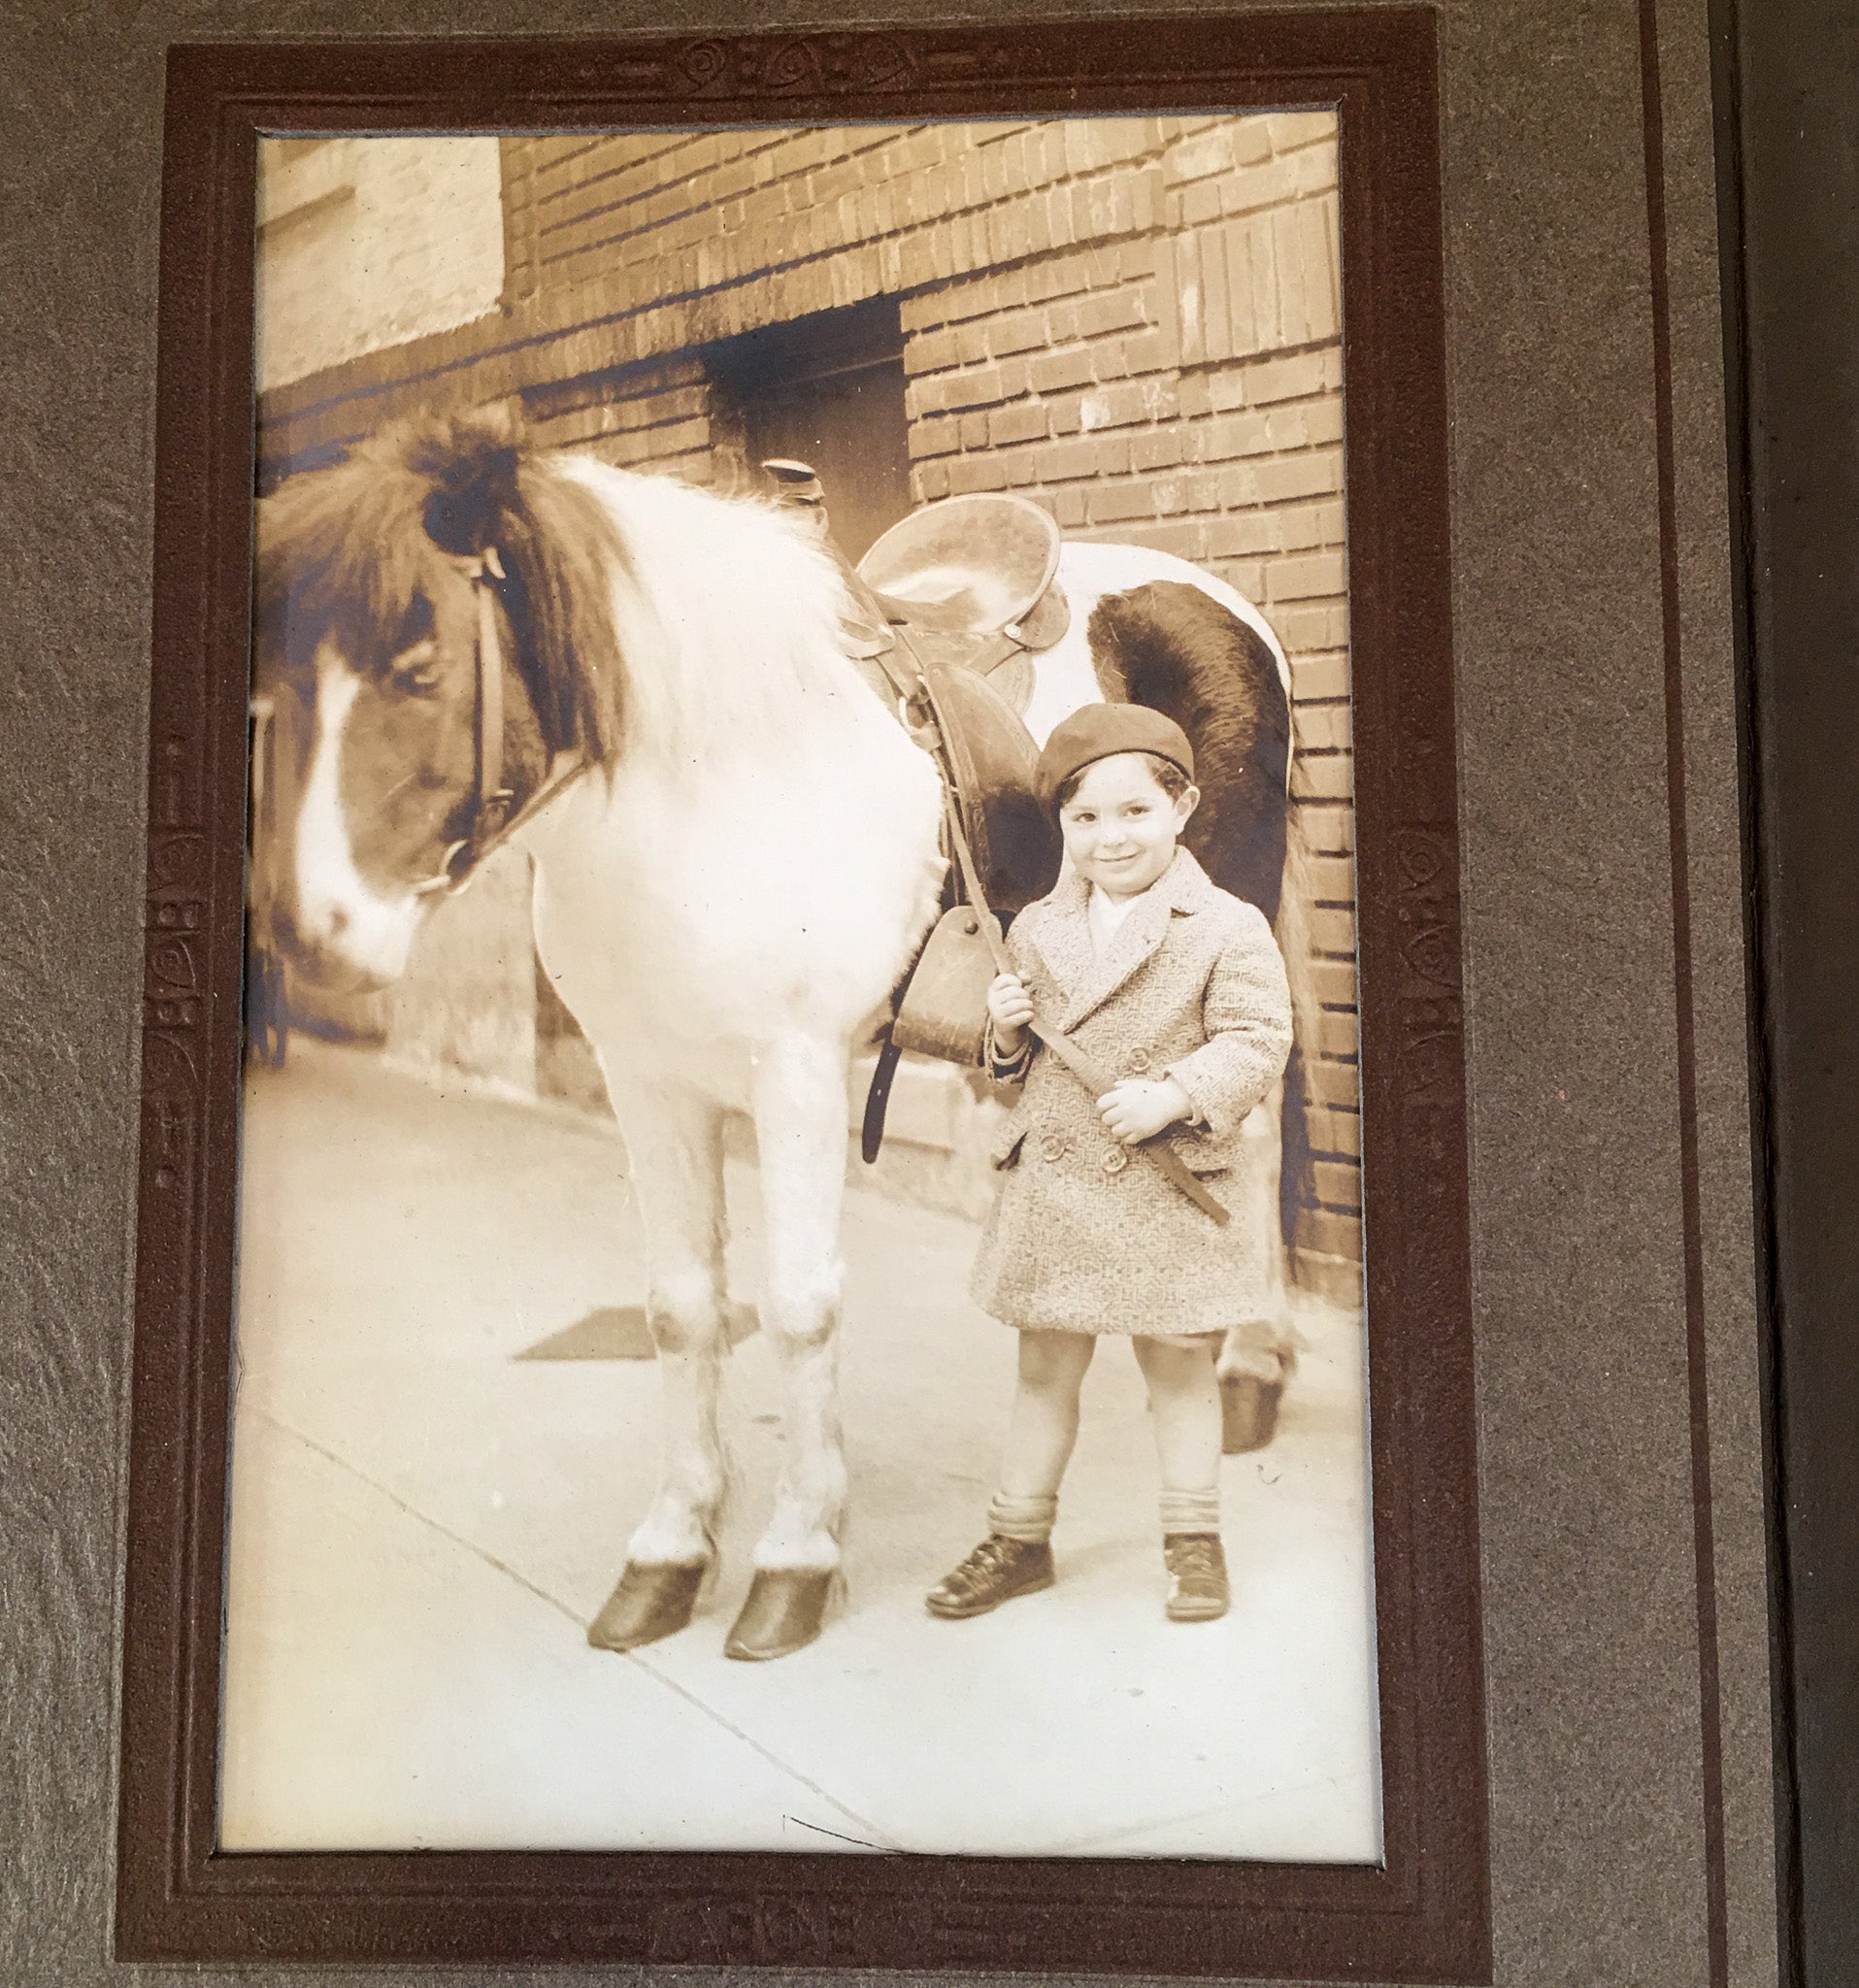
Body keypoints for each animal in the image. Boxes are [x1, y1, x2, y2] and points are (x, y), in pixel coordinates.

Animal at [254, 407, 1319, 1662]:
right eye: (278, 681)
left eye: (417, 669)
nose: (311, 931)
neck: (703, 790)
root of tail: (1218, 598)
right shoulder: (649, 1079)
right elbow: (681, 1306)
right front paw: (670, 1553)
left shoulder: (796, 1071)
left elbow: (801, 1307)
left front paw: (796, 1558)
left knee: (1252, 1131)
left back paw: (1245, 1368)